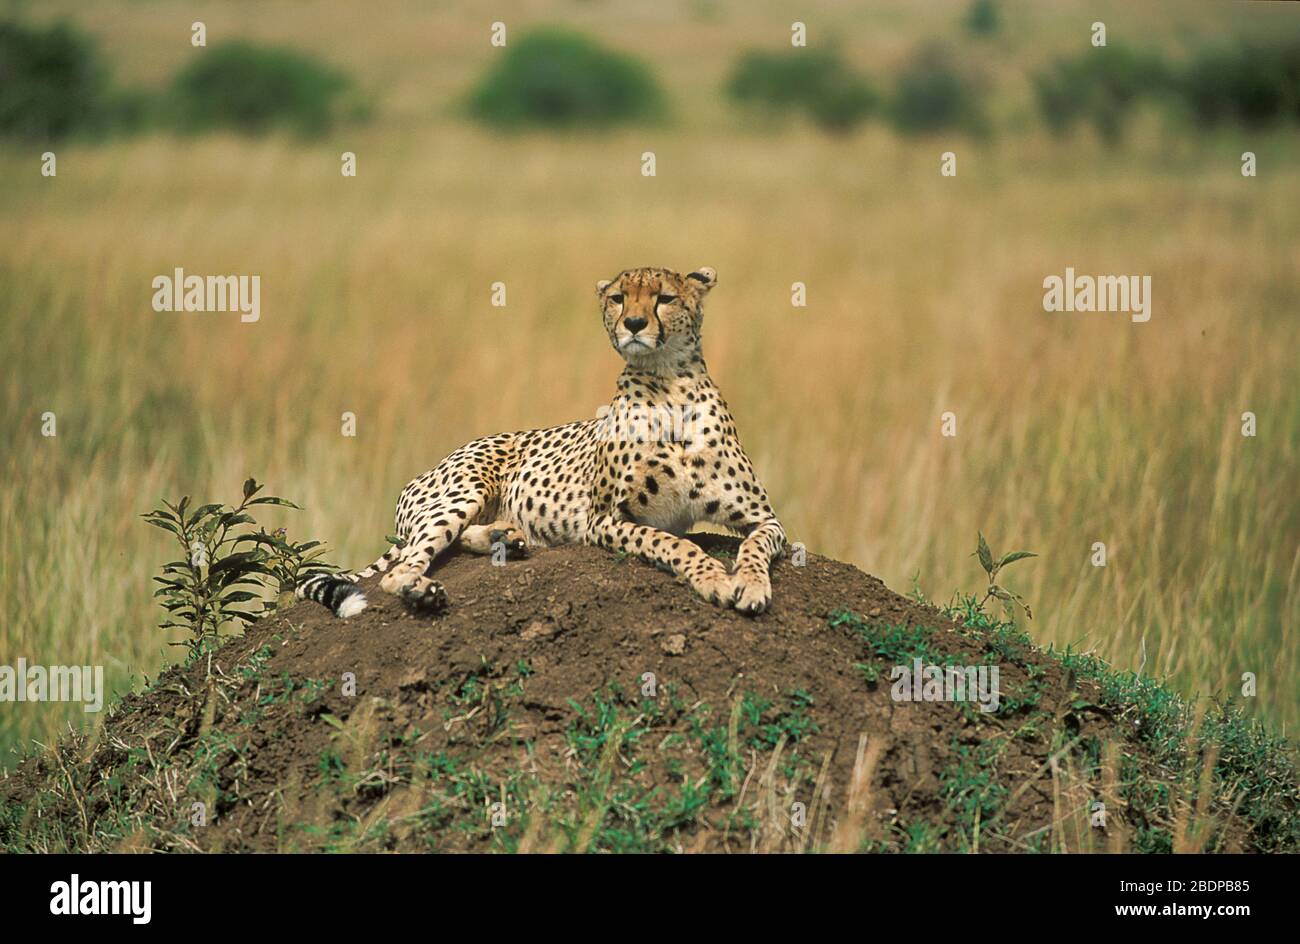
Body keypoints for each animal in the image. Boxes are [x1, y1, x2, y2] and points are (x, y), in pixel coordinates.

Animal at [298, 265, 786, 620]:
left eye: (664, 298)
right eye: (618, 298)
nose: (633, 323)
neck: (670, 388)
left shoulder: (765, 518)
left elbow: (755, 548)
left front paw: (751, 584)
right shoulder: (604, 520)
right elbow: (672, 542)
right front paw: (714, 579)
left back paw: (504, 537)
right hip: (463, 490)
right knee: (401, 568)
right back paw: (423, 590)